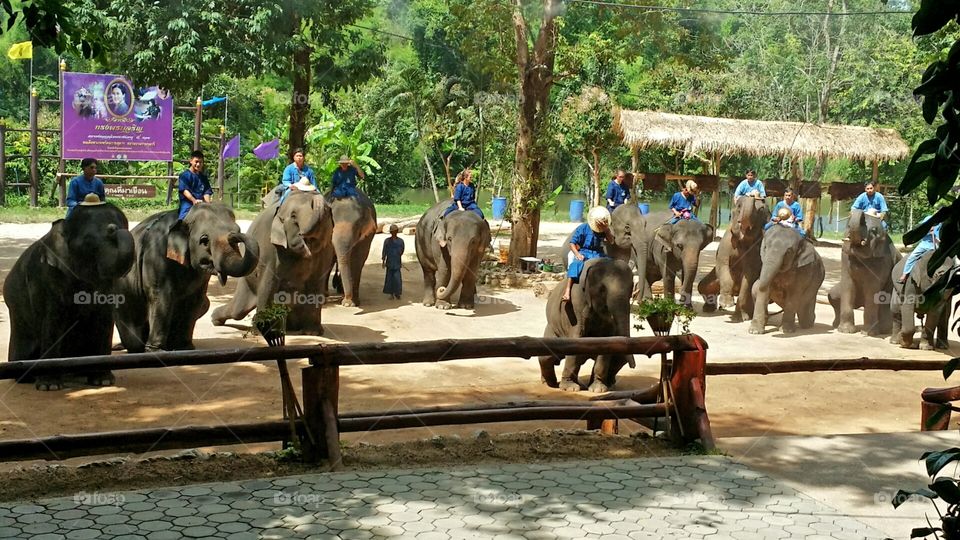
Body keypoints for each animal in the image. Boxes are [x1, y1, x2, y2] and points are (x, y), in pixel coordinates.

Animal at [4, 201, 135, 388]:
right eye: (88, 242)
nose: (113, 229)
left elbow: (103, 319)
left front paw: (103, 381)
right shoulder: (46, 276)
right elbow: (53, 320)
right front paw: (49, 386)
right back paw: (29, 377)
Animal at [113, 205, 258, 352]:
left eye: (238, 229)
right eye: (204, 240)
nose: (236, 235)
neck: (185, 217)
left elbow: (194, 300)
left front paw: (185, 347)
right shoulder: (156, 256)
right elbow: (161, 298)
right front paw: (155, 350)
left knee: (205, 303)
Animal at [210, 189, 334, 334]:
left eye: (327, 212)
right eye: (293, 216)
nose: (315, 192)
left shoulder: (326, 251)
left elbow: (316, 285)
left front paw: (313, 333)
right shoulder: (270, 251)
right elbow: (268, 284)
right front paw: (261, 332)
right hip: (247, 281)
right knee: (238, 310)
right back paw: (215, 318)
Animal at [540, 258, 636, 392]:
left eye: (631, 289)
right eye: (602, 289)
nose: (634, 366)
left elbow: (608, 343)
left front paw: (598, 389)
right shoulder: (575, 304)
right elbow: (576, 339)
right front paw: (570, 388)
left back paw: (609, 384)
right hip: (552, 329)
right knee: (546, 357)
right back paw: (550, 384)